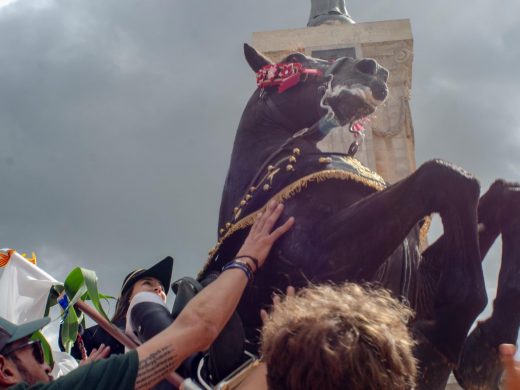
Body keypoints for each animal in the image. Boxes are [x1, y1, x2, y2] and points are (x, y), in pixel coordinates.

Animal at [198, 43, 520, 390]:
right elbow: (446, 177)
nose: (372, 69)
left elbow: (501, 193)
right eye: (293, 60)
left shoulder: (420, 287)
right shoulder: (321, 260)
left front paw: (485, 349)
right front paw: (447, 346)